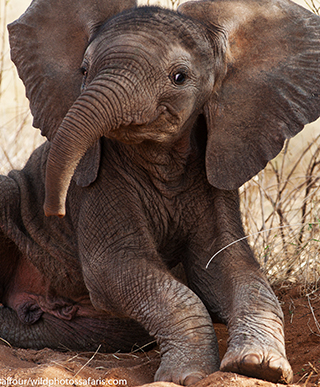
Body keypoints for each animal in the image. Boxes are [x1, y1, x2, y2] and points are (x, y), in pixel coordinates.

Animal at [1, 0, 320, 384]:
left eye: (179, 77)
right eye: (83, 69)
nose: (55, 210)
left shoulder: (214, 172)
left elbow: (227, 268)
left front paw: (258, 366)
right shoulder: (96, 183)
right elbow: (116, 268)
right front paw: (187, 375)